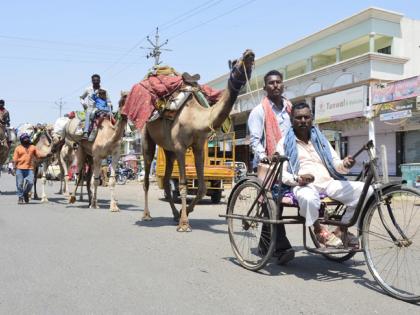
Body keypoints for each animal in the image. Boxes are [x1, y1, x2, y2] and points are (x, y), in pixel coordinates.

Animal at [139, 49, 254, 232]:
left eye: (250, 61)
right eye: (236, 62)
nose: (250, 53)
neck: (196, 118)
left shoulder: (198, 147)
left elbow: (202, 188)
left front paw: (182, 214)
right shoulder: (180, 147)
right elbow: (183, 185)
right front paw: (184, 224)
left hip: (169, 150)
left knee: (166, 182)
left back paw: (174, 214)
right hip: (147, 136)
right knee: (147, 176)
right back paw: (146, 215)